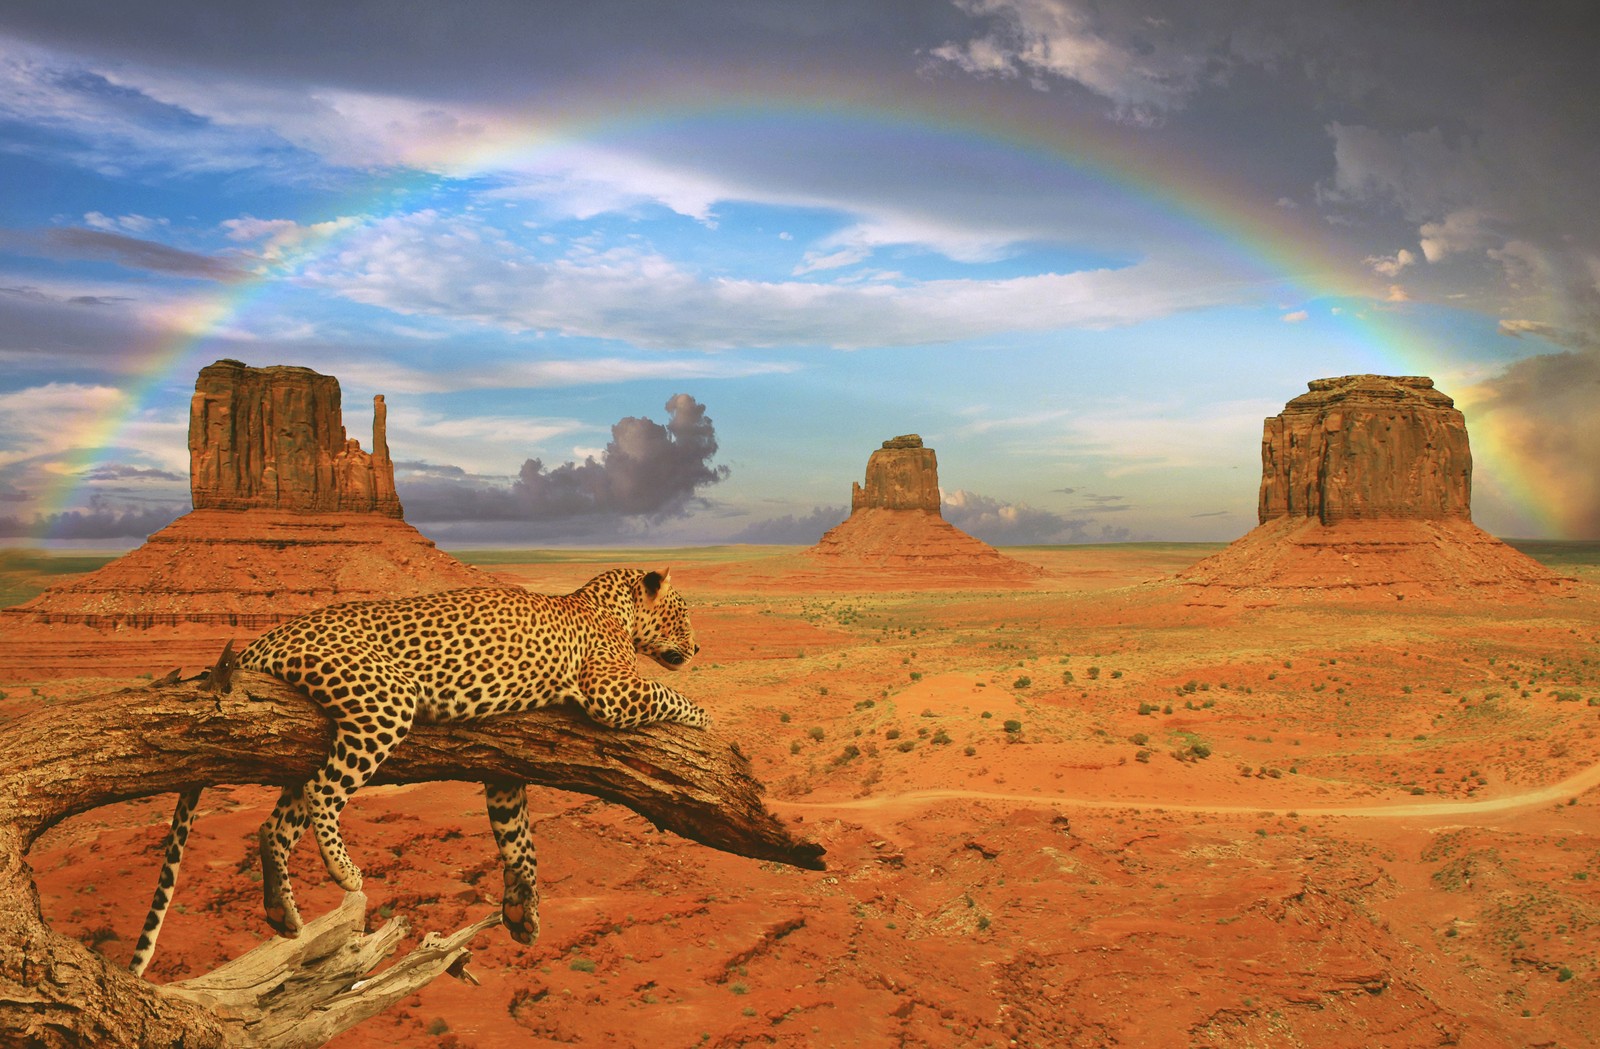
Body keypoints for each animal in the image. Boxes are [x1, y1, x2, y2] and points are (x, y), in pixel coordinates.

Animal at [134, 569, 710, 978]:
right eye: (682, 612)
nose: (700, 647)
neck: (611, 607)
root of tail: (272, 633)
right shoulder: (614, 692)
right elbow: (670, 694)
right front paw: (707, 718)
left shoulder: (505, 769)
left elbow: (519, 840)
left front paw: (523, 909)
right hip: (385, 700)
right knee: (323, 791)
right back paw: (345, 872)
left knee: (274, 824)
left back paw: (282, 913)